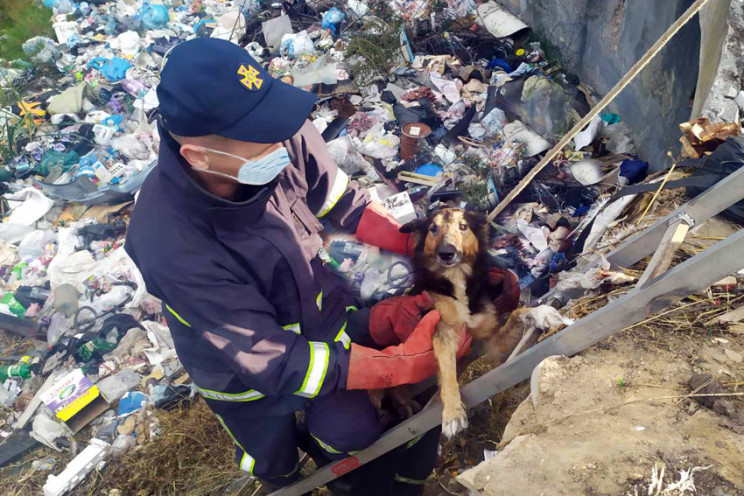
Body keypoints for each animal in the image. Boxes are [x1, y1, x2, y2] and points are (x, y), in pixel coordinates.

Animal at [402, 208, 540, 438]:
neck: (456, 277)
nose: (446, 253)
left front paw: (538, 313)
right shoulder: (442, 331)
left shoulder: (489, 341)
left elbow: (516, 313)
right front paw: (452, 413)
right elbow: (447, 373)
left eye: (463, 226)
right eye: (433, 228)